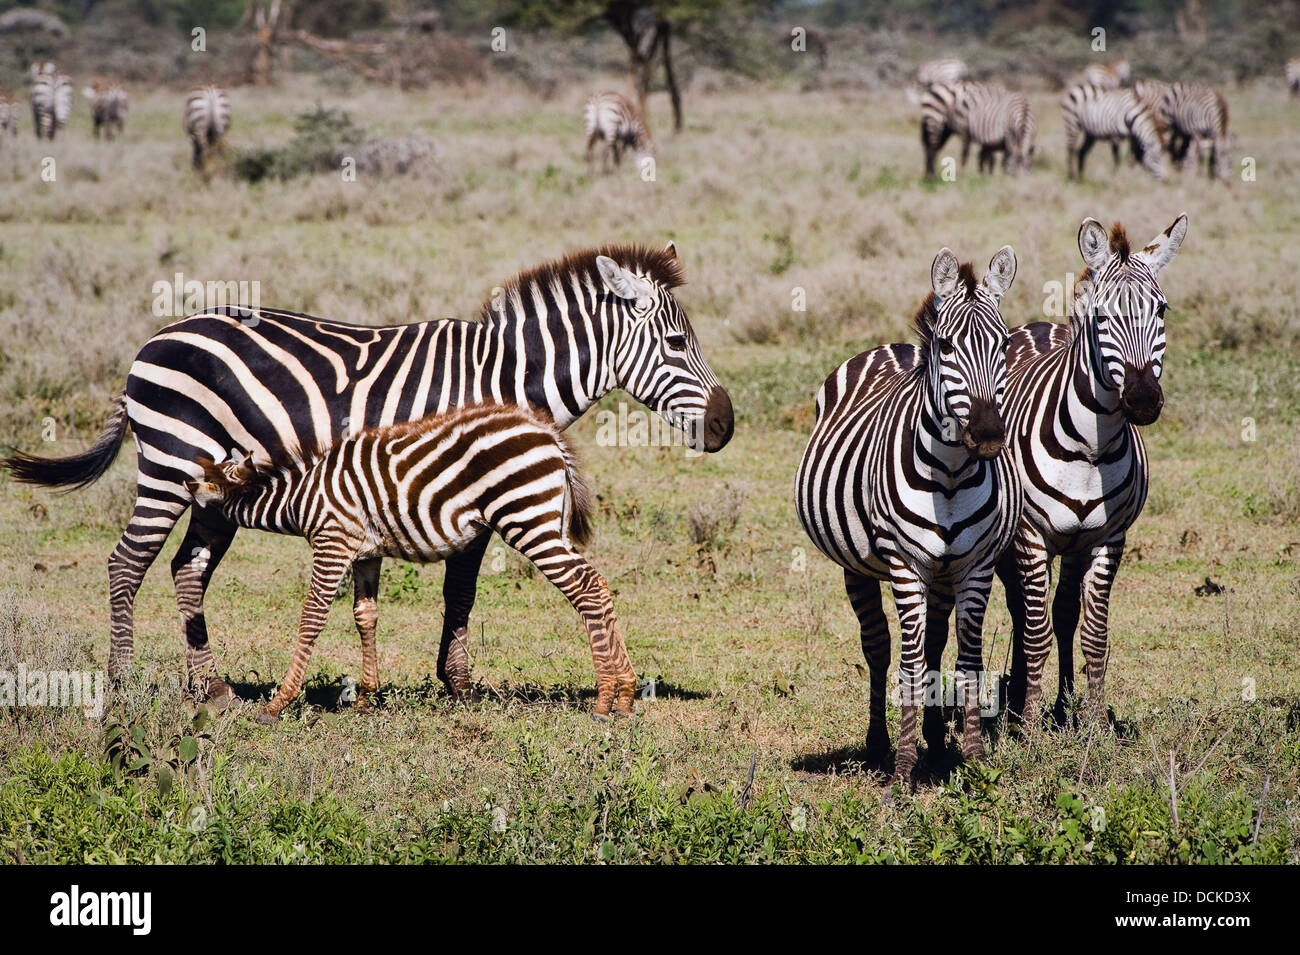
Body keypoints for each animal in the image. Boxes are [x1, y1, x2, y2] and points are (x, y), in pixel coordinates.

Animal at [189, 402, 637, 722]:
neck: (303, 498)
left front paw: (277, 703)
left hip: (526, 519)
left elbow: (312, 617)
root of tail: (548, 434)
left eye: (207, 484)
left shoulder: (333, 543)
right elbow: (365, 615)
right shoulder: (366, 554)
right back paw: (626, 695)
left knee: (585, 587)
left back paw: (604, 702)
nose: (186, 485)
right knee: (597, 584)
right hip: (548, 521)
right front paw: (366, 698)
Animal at [790, 244, 1024, 784]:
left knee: (936, 642)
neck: (952, 473)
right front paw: (901, 771)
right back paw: (879, 744)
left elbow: (966, 660)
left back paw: (936, 743)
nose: (988, 436)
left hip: (942, 570)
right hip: (857, 564)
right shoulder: (904, 563)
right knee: (877, 645)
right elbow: (910, 665)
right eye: (947, 347)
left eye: (1004, 347)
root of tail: (892, 347)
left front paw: (974, 762)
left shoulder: (975, 565)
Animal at [993, 213, 1190, 727]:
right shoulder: (1031, 537)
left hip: (1075, 544)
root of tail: (1040, 325)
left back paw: (1063, 704)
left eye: (1162, 311)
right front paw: (1030, 728)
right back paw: (1020, 701)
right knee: (1022, 611)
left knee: (1063, 613)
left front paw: (1095, 726)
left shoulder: (1107, 537)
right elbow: (1035, 633)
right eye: (1102, 317)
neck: (1089, 448)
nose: (1142, 401)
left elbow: (1093, 635)